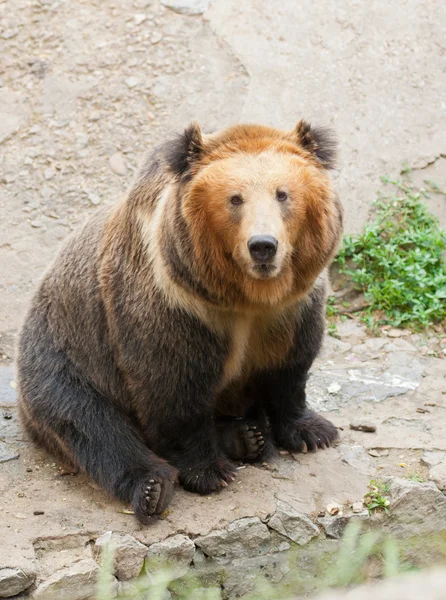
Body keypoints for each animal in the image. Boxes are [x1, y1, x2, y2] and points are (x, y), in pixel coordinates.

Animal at [16, 119, 342, 524]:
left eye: (283, 194)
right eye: (235, 198)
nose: (263, 245)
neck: (246, 297)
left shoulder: (291, 310)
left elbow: (289, 368)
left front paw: (313, 431)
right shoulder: (173, 306)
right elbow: (172, 387)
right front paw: (208, 471)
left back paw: (246, 437)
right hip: (66, 356)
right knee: (89, 423)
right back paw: (153, 486)